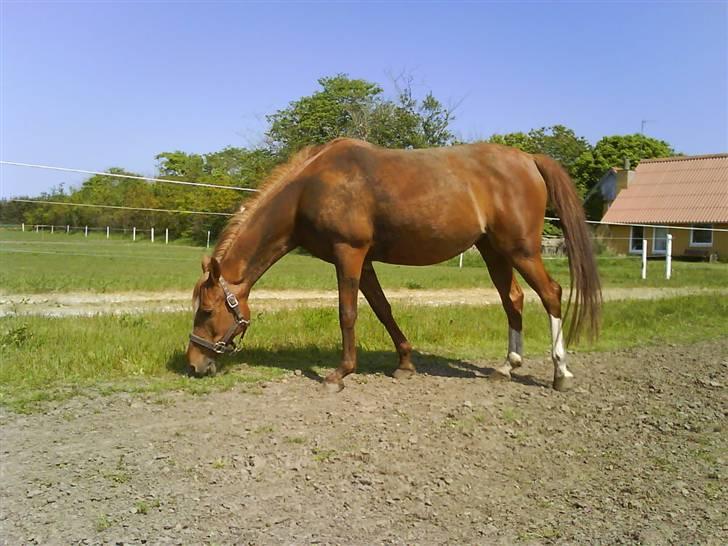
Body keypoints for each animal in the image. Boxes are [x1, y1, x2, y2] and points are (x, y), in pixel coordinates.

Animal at [188, 138, 604, 388]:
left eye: (207, 311)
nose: (193, 364)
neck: (309, 189)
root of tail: (529, 159)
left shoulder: (349, 253)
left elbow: (348, 313)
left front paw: (340, 373)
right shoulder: (364, 260)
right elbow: (383, 309)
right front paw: (404, 362)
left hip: (521, 250)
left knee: (551, 294)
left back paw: (560, 372)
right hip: (493, 251)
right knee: (512, 299)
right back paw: (507, 366)